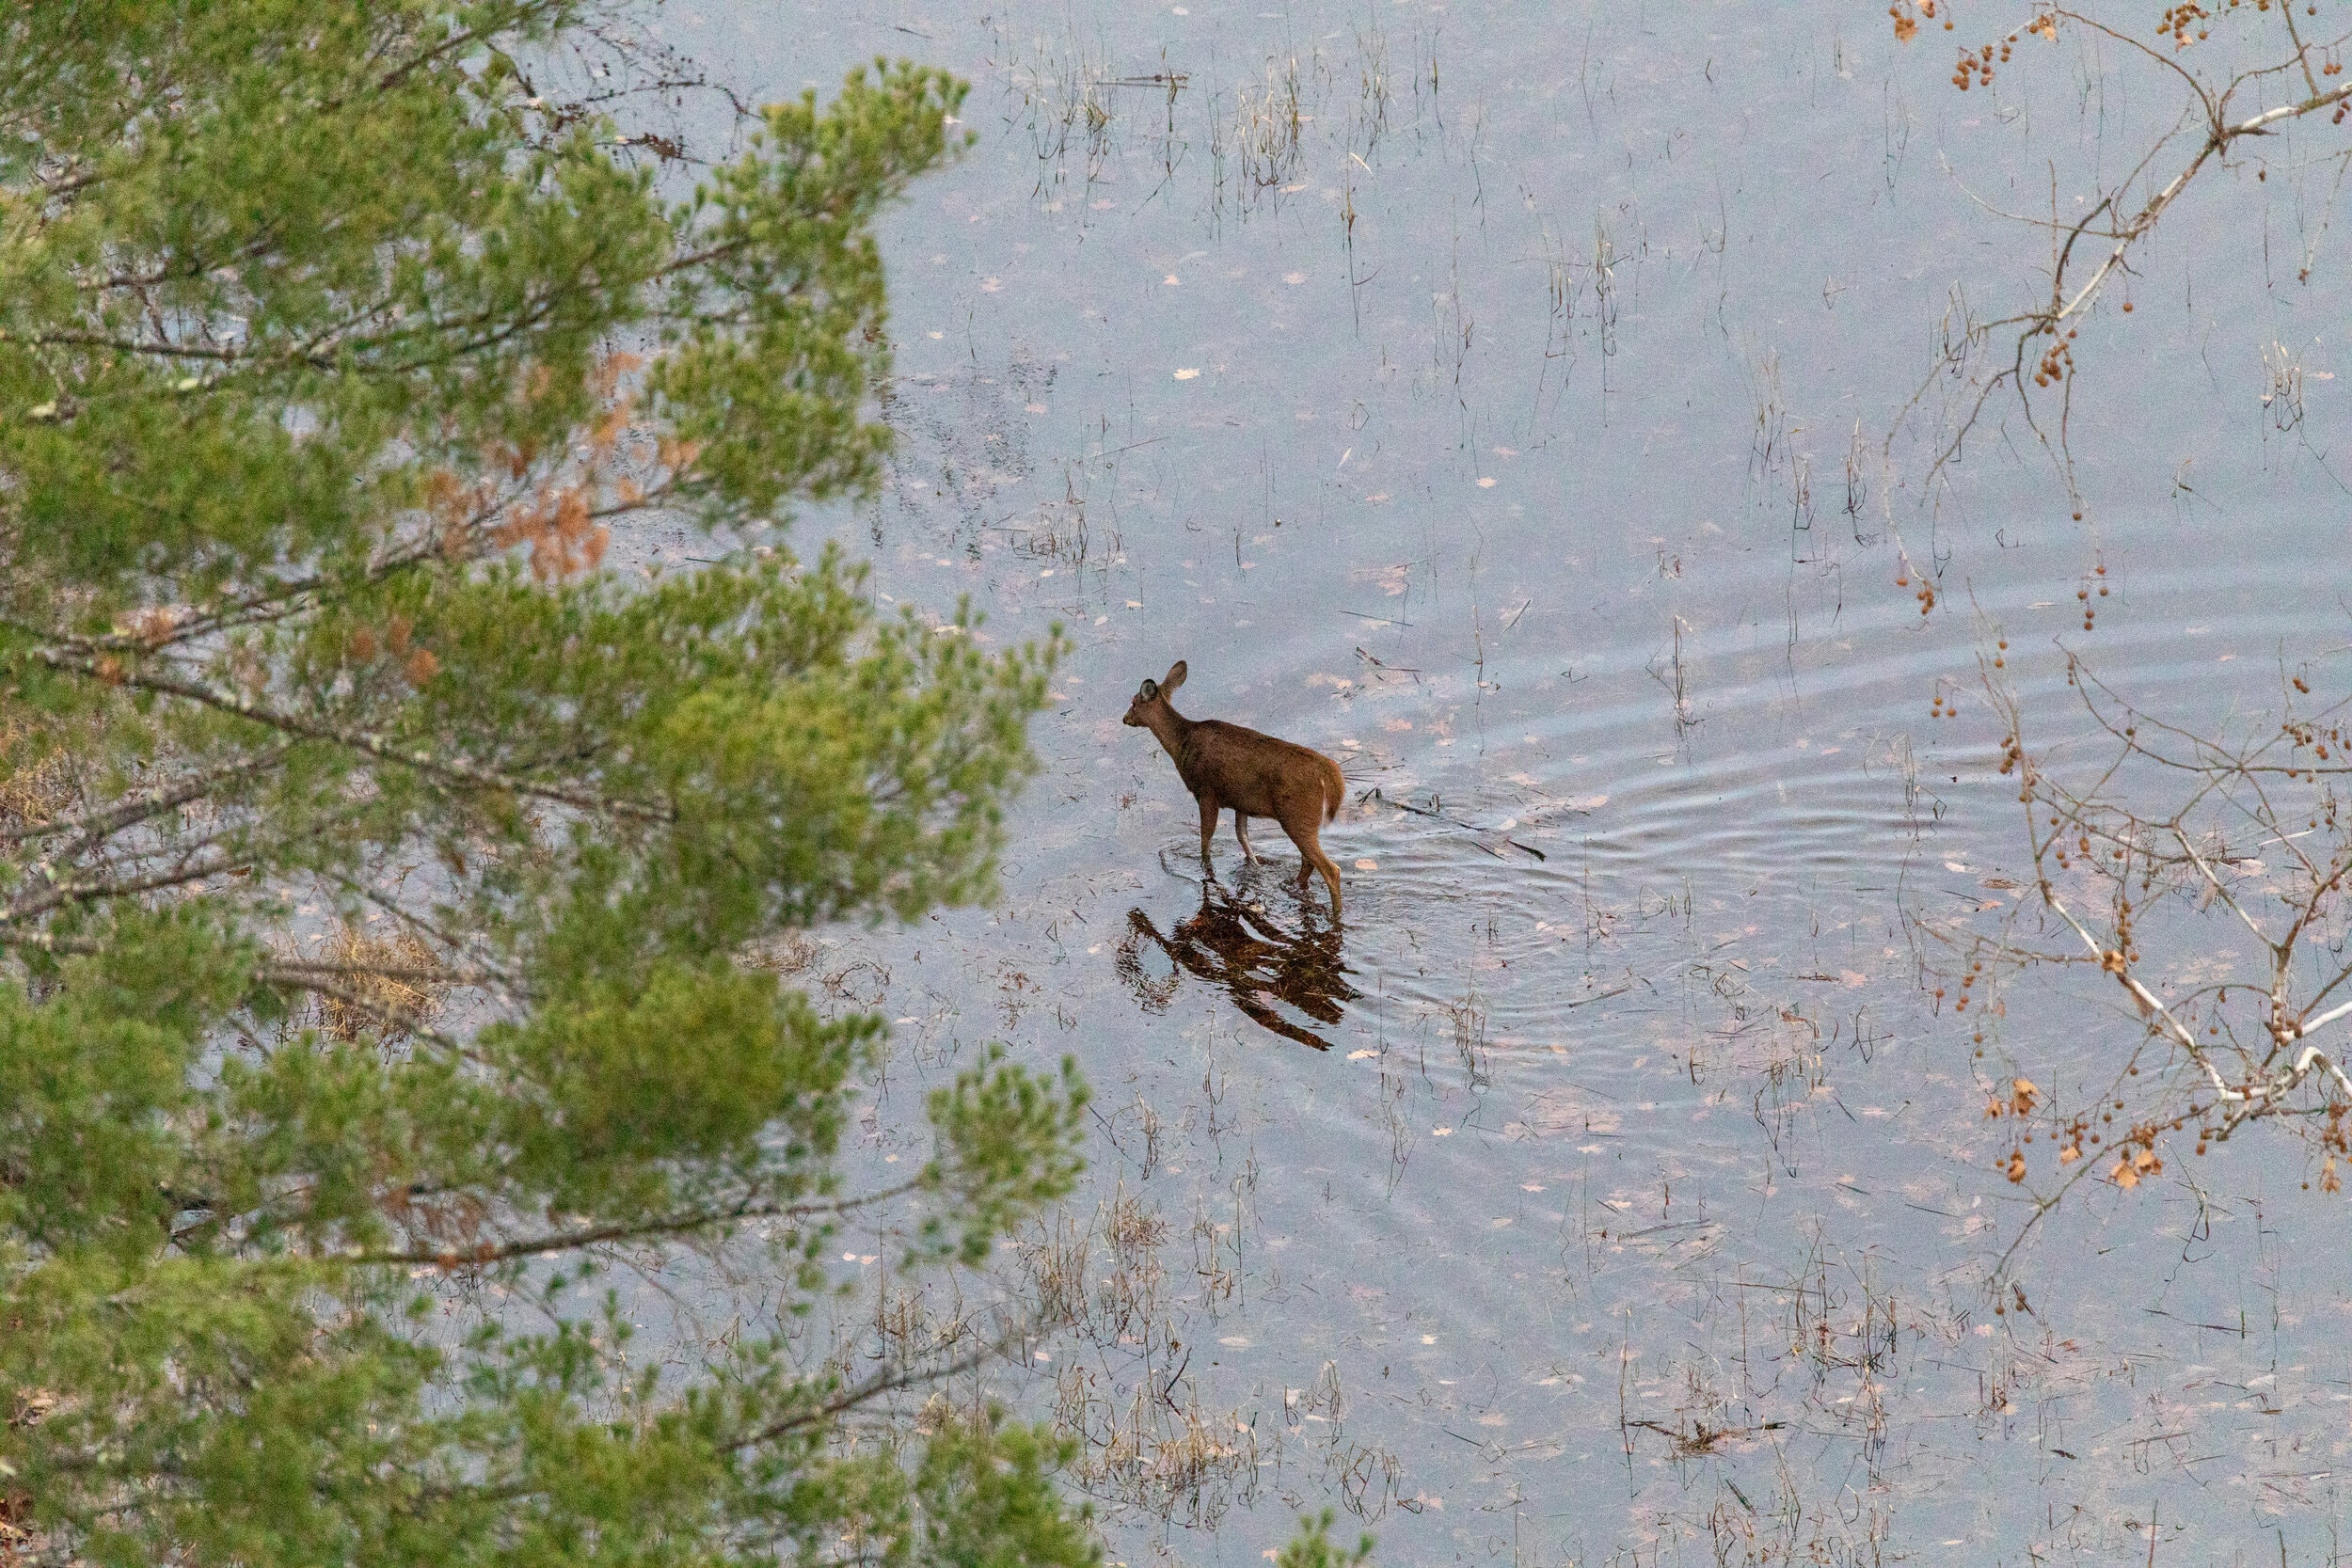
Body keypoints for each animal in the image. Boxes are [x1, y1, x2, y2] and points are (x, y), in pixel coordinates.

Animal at [1122, 660, 1349, 916]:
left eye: (1133, 702)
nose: (1125, 718)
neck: (1182, 744)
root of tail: (1327, 769)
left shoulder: (1207, 793)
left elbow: (1206, 842)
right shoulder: (1241, 801)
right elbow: (1243, 838)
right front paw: (1254, 868)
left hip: (1297, 814)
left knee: (1330, 869)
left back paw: (1336, 912)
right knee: (1308, 862)